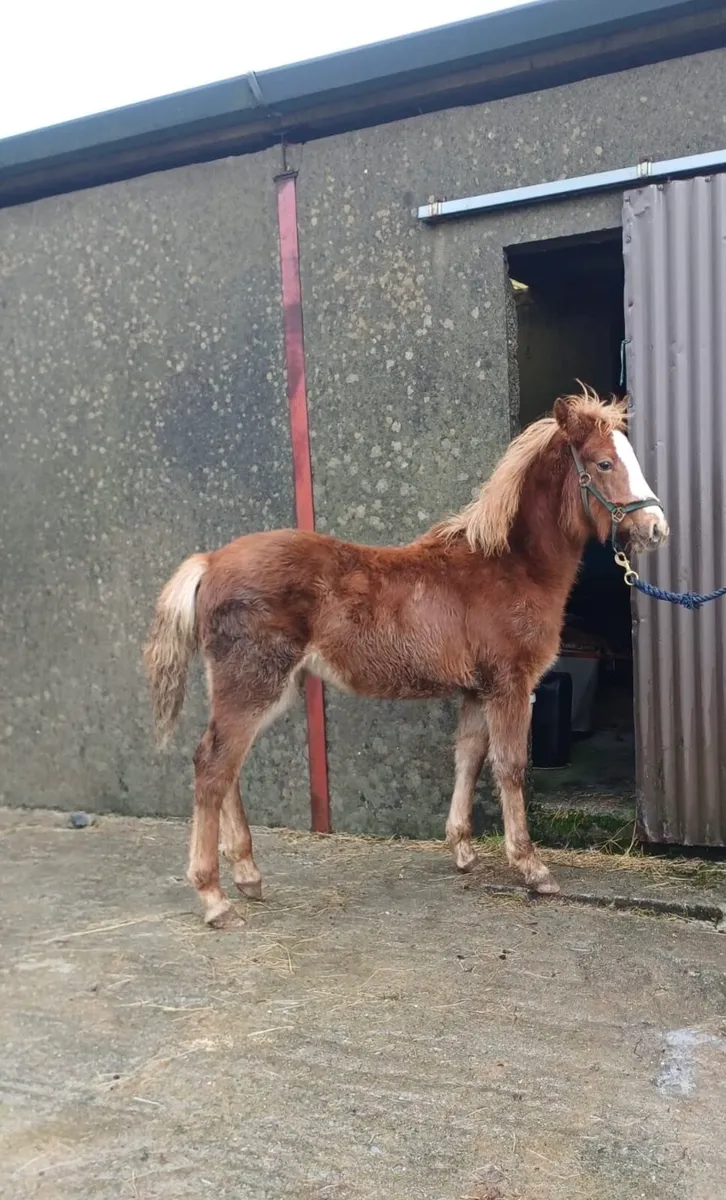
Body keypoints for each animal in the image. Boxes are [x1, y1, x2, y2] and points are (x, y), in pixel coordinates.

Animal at [144, 387, 668, 928]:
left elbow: (468, 756)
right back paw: (214, 898)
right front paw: (530, 866)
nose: (656, 529)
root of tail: (210, 561)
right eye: (604, 462)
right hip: (253, 685)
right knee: (212, 766)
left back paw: (248, 876)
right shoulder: (510, 684)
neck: (508, 566)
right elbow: (509, 766)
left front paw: (462, 849)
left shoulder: (476, 689)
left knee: (226, 766)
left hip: (252, 690)